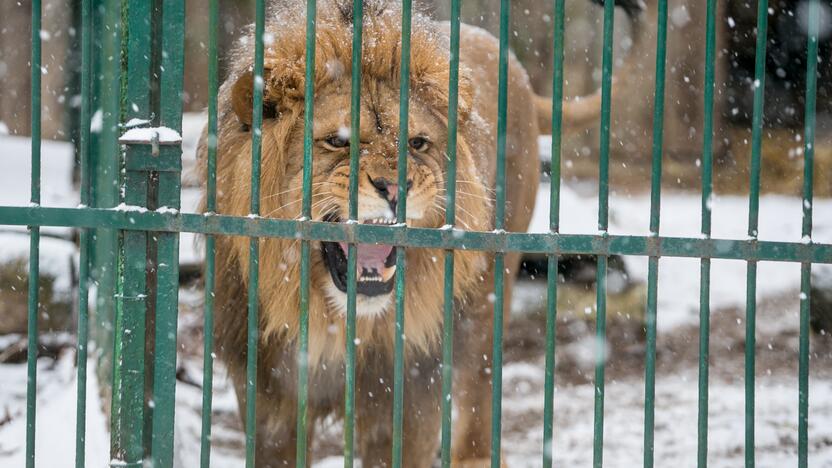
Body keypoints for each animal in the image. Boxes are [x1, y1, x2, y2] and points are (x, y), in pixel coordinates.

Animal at [200, 1, 644, 466]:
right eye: (338, 142)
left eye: (417, 143)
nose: (396, 188)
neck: (340, 321)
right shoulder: (269, 397)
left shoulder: (409, 396)